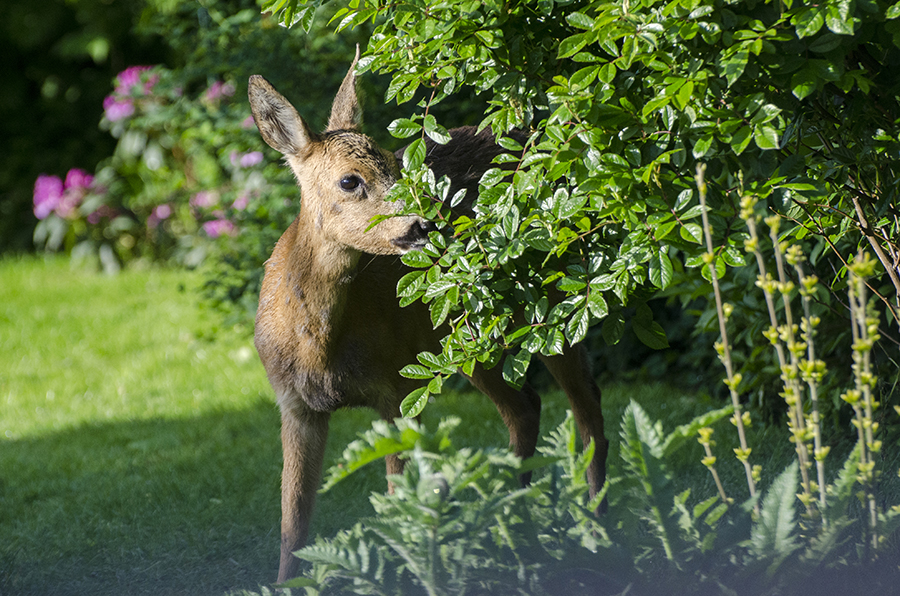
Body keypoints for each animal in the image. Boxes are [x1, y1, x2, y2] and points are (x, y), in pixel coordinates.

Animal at [246, 51, 612, 584]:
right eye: (349, 180)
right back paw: (520, 540)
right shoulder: (294, 403)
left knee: (587, 411)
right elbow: (292, 529)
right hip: (468, 340)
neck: (322, 347)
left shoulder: (398, 390)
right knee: (525, 406)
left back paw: (600, 533)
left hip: (554, 302)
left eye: (397, 165)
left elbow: (401, 511)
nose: (425, 222)